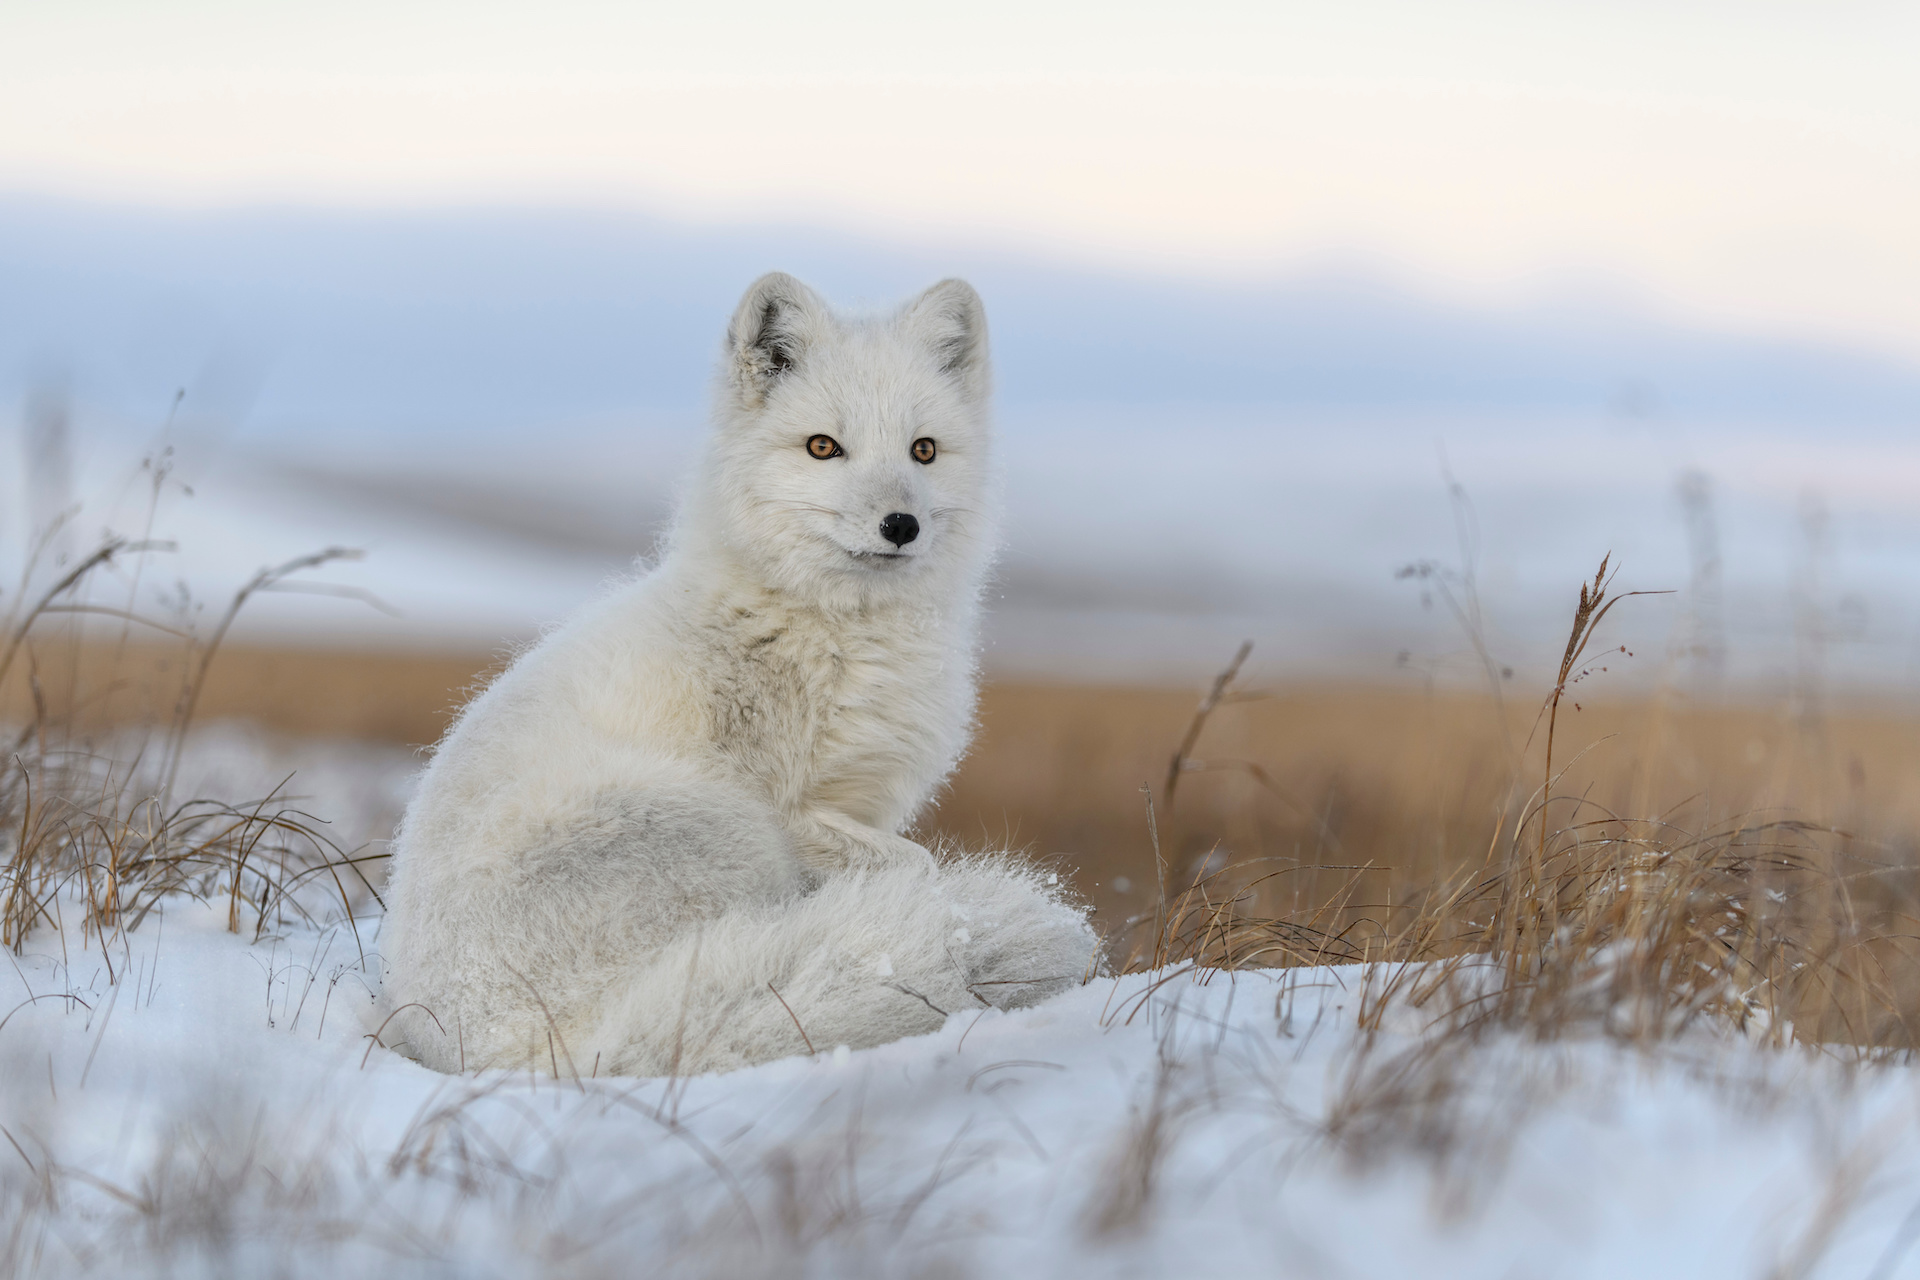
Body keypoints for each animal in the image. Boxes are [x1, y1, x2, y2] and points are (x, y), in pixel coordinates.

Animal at [376, 273, 1100, 1076]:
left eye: (924, 450)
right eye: (823, 447)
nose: (900, 526)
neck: (829, 631)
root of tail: (552, 1052)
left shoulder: (862, 802)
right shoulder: (794, 810)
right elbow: (915, 865)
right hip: (723, 828)